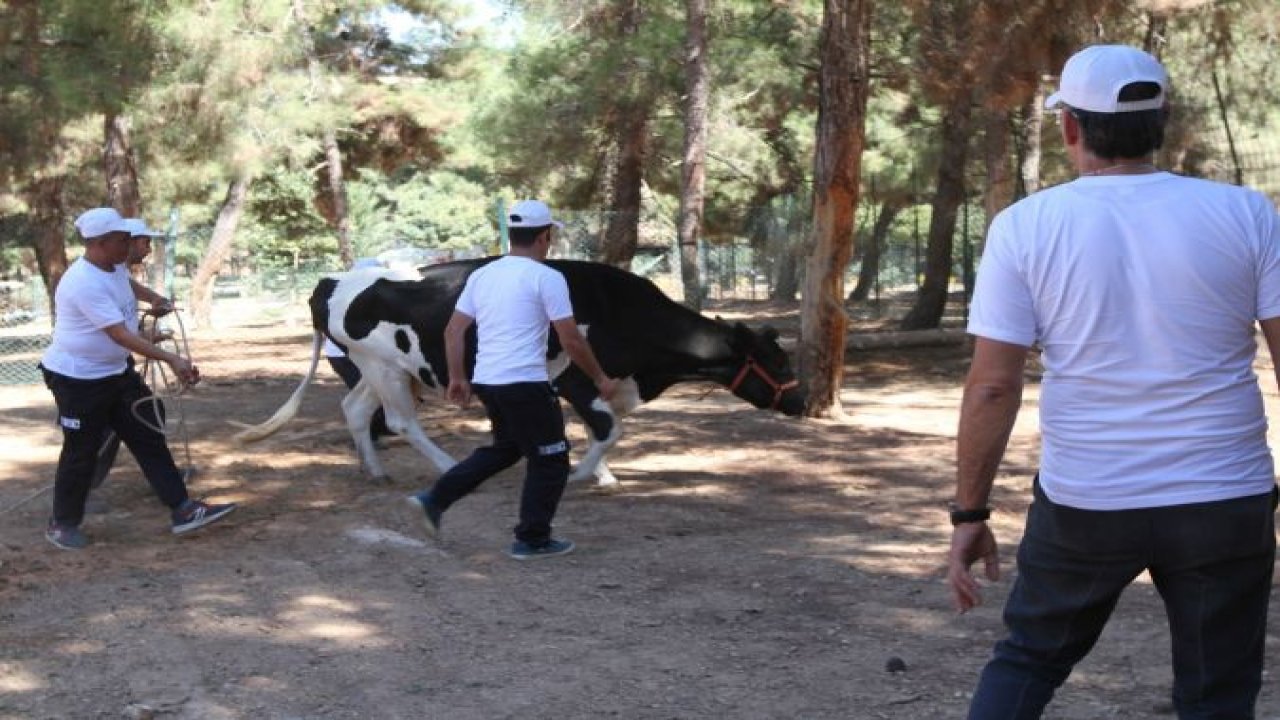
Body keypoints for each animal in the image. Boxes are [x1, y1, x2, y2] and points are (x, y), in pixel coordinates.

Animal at [235, 254, 803, 484]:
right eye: (774, 359)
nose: (800, 402)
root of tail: (331, 280)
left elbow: (607, 429)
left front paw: (603, 473)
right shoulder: (574, 378)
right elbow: (609, 429)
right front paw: (585, 474)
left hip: (381, 368)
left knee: (355, 409)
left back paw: (375, 470)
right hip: (384, 366)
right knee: (400, 422)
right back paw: (446, 465)